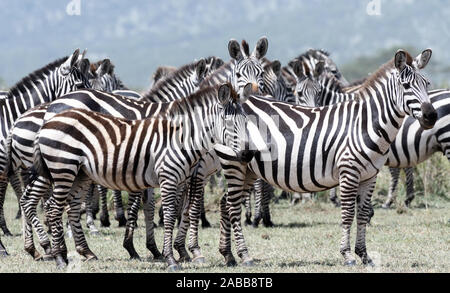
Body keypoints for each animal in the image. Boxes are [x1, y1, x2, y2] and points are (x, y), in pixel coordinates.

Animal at [216, 49, 438, 266]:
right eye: (406, 85)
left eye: (427, 84)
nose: (431, 116)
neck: (365, 124)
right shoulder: (349, 172)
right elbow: (348, 214)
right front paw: (348, 255)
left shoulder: (370, 175)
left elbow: (362, 214)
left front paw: (364, 255)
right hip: (234, 163)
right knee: (232, 206)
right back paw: (244, 255)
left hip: (248, 169)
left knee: (225, 202)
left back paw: (228, 255)